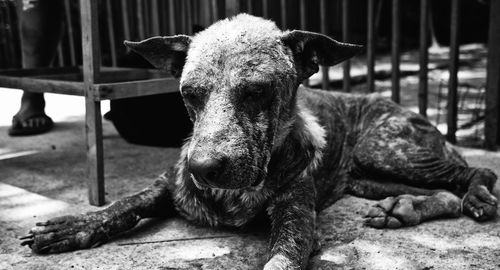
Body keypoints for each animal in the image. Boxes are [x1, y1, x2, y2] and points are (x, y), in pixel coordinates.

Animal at [19, 14, 496, 268]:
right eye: (188, 95)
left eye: (257, 92)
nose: (203, 170)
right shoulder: (167, 183)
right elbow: (122, 205)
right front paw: (75, 225)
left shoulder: (296, 220)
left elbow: (281, 257)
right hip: (368, 177)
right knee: (444, 191)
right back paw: (404, 209)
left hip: (383, 149)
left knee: (475, 171)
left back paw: (475, 196)